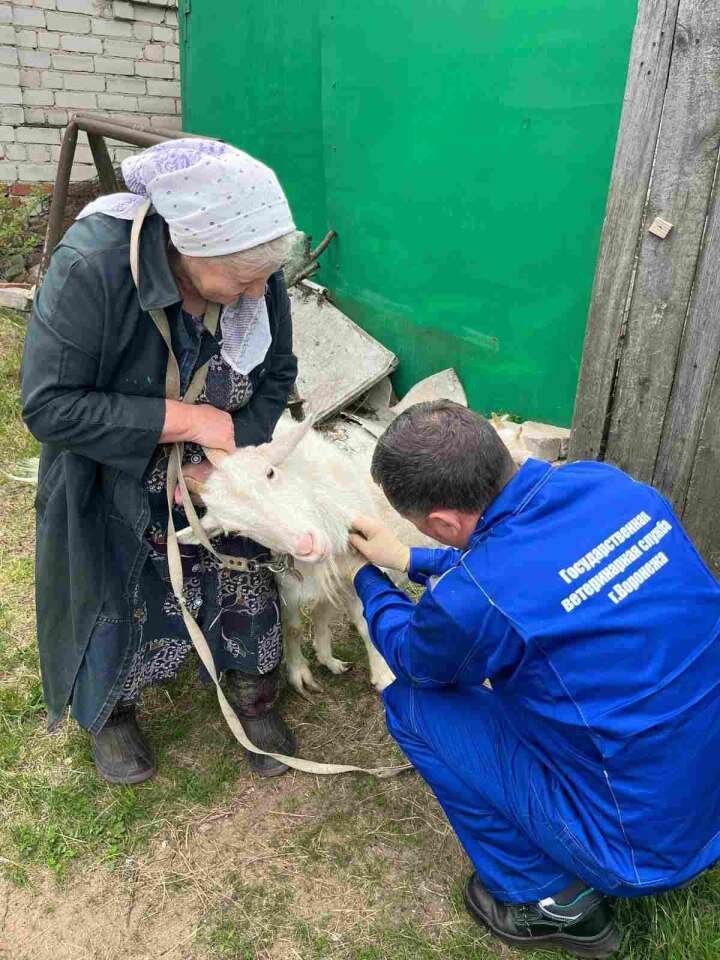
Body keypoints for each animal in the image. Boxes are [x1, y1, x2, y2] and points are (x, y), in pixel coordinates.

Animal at [178, 416, 396, 692]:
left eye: (270, 472)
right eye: (235, 530)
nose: (307, 545)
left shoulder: (352, 566)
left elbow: (365, 622)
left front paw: (384, 675)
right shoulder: (288, 586)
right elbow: (292, 628)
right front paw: (299, 672)